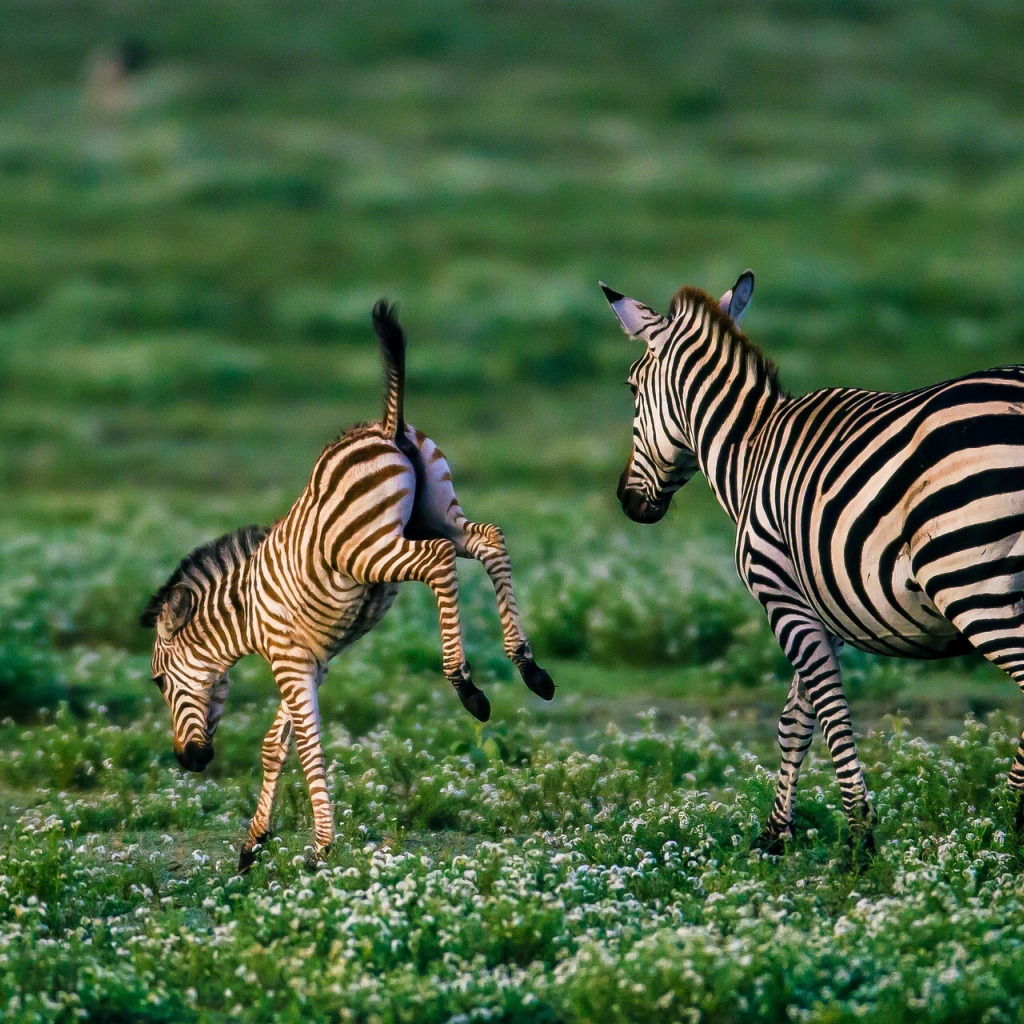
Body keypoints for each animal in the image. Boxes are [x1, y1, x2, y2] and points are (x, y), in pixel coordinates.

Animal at [140, 299, 552, 868]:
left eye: (159, 681)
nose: (189, 760)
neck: (246, 616)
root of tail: (385, 425)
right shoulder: (313, 662)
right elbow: (275, 745)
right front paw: (253, 843)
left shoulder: (289, 662)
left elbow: (308, 748)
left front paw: (319, 848)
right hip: (438, 514)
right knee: (489, 540)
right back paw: (530, 668)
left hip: (369, 549)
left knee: (439, 561)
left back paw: (467, 686)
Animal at [602, 268, 1024, 851]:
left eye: (631, 389)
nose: (627, 501)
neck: (749, 451)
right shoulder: (828, 606)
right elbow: (795, 721)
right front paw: (776, 834)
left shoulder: (782, 594)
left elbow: (828, 713)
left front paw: (857, 836)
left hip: (973, 578)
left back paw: (1010, 820)